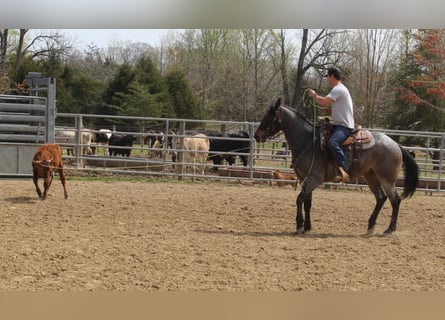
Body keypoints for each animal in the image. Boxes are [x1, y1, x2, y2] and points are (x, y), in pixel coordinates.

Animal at [255, 97, 418, 235]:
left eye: (269, 117)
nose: (257, 136)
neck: (308, 141)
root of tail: (396, 144)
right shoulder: (305, 179)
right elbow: (307, 202)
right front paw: (308, 226)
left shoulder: (314, 178)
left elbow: (300, 199)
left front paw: (300, 226)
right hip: (371, 176)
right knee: (381, 198)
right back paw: (371, 226)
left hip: (387, 179)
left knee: (395, 200)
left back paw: (390, 229)